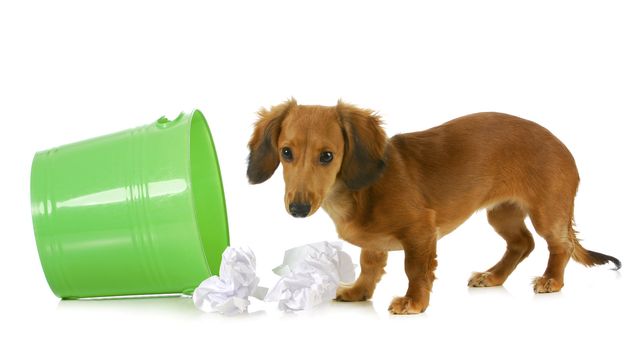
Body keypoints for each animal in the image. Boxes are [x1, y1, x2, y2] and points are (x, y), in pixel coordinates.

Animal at [245, 98, 620, 314]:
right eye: (286, 152)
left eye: (327, 156)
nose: (297, 208)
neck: (357, 190)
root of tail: (561, 143)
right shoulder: (374, 244)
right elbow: (369, 267)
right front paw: (359, 292)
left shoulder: (422, 233)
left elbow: (415, 270)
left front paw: (414, 302)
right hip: (501, 213)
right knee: (522, 243)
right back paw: (493, 276)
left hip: (546, 212)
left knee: (559, 246)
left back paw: (551, 281)